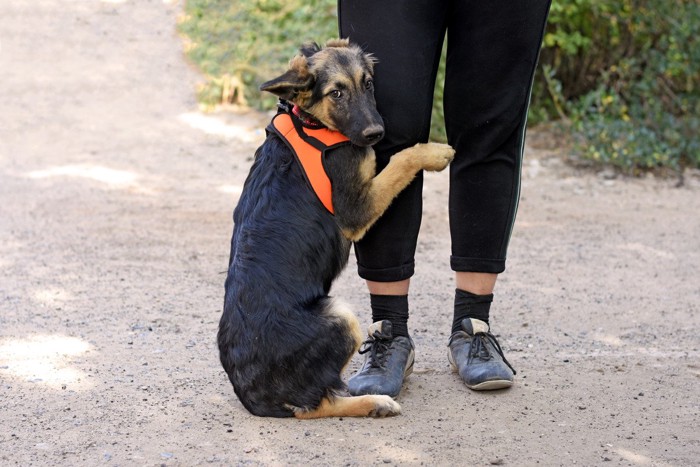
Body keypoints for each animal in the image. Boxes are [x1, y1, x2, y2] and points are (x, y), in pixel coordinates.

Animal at [216, 39, 454, 420]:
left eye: (368, 84)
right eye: (336, 93)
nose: (375, 134)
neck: (310, 123)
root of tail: (251, 395)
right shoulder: (356, 209)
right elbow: (399, 161)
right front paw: (432, 153)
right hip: (341, 315)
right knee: (315, 404)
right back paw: (374, 403)